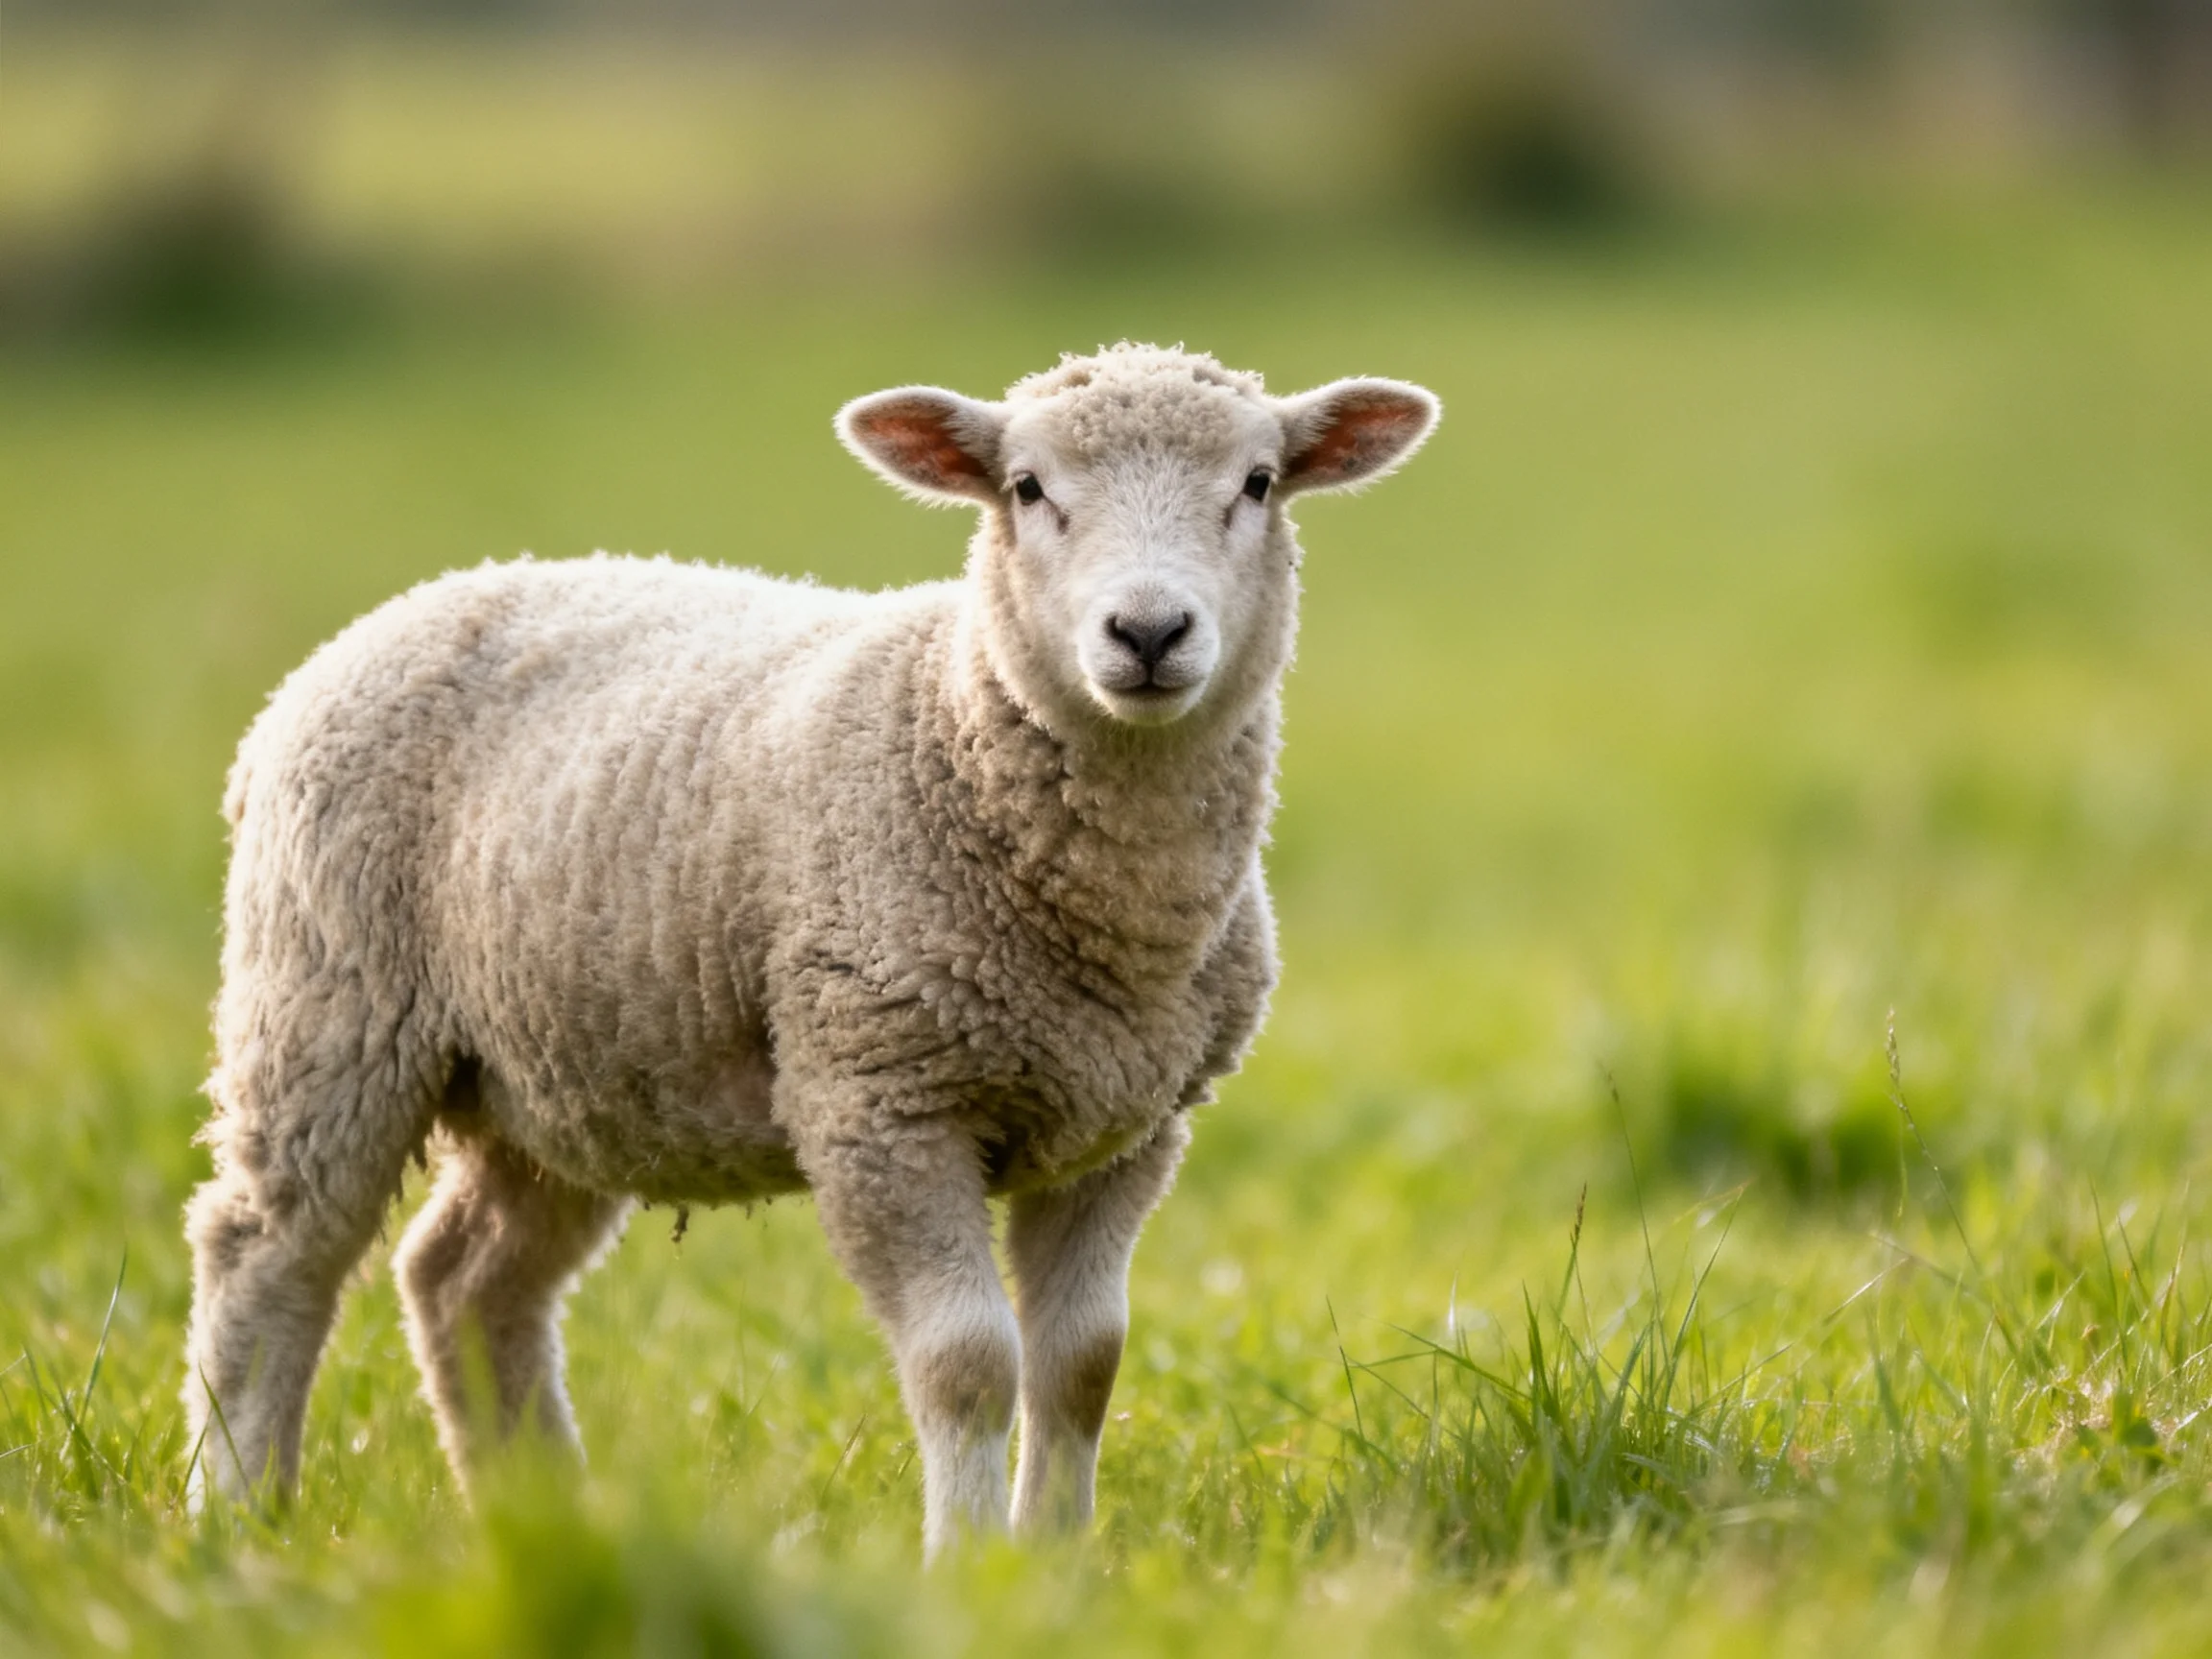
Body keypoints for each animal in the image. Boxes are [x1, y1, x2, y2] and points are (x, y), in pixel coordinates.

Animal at [180, 342, 1439, 1555]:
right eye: (1027, 489)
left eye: (1259, 483)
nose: (1148, 632)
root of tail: (414, 604)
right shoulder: (880, 1103)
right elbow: (969, 1364)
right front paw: (972, 1567)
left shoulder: (1126, 1128)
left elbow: (1083, 1364)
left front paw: (1058, 1561)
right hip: (328, 1009)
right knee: (267, 1256)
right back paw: (236, 1514)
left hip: (557, 1072)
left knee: (463, 1278)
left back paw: (540, 1511)